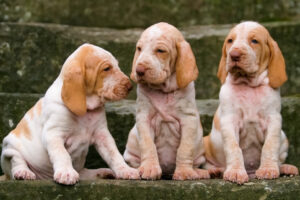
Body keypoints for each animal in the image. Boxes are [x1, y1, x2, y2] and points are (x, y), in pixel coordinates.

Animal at [0, 43, 141, 184]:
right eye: (106, 68)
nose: (130, 87)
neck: (87, 109)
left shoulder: (102, 135)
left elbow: (114, 155)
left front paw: (126, 170)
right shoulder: (53, 134)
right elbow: (62, 154)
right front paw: (66, 173)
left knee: (83, 172)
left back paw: (101, 173)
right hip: (9, 147)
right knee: (16, 161)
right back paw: (23, 172)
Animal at [123, 22, 210, 180]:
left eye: (160, 51)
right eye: (139, 48)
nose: (139, 70)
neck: (163, 91)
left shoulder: (188, 120)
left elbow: (185, 149)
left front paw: (184, 172)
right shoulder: (144, 119)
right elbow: (148, 145)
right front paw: (149, 168)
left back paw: (199, 171)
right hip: (131, 143)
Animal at [203, 21, 298, 184]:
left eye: (254, 41)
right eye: (230, 41)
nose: (234, 55)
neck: (248, 85)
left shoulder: (274, 120)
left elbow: (269, 146)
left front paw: (268, 169)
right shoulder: (229, 121)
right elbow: (234, 148)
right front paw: (235, 172)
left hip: (284, 137)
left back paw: (285, 168)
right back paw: (215, 171)